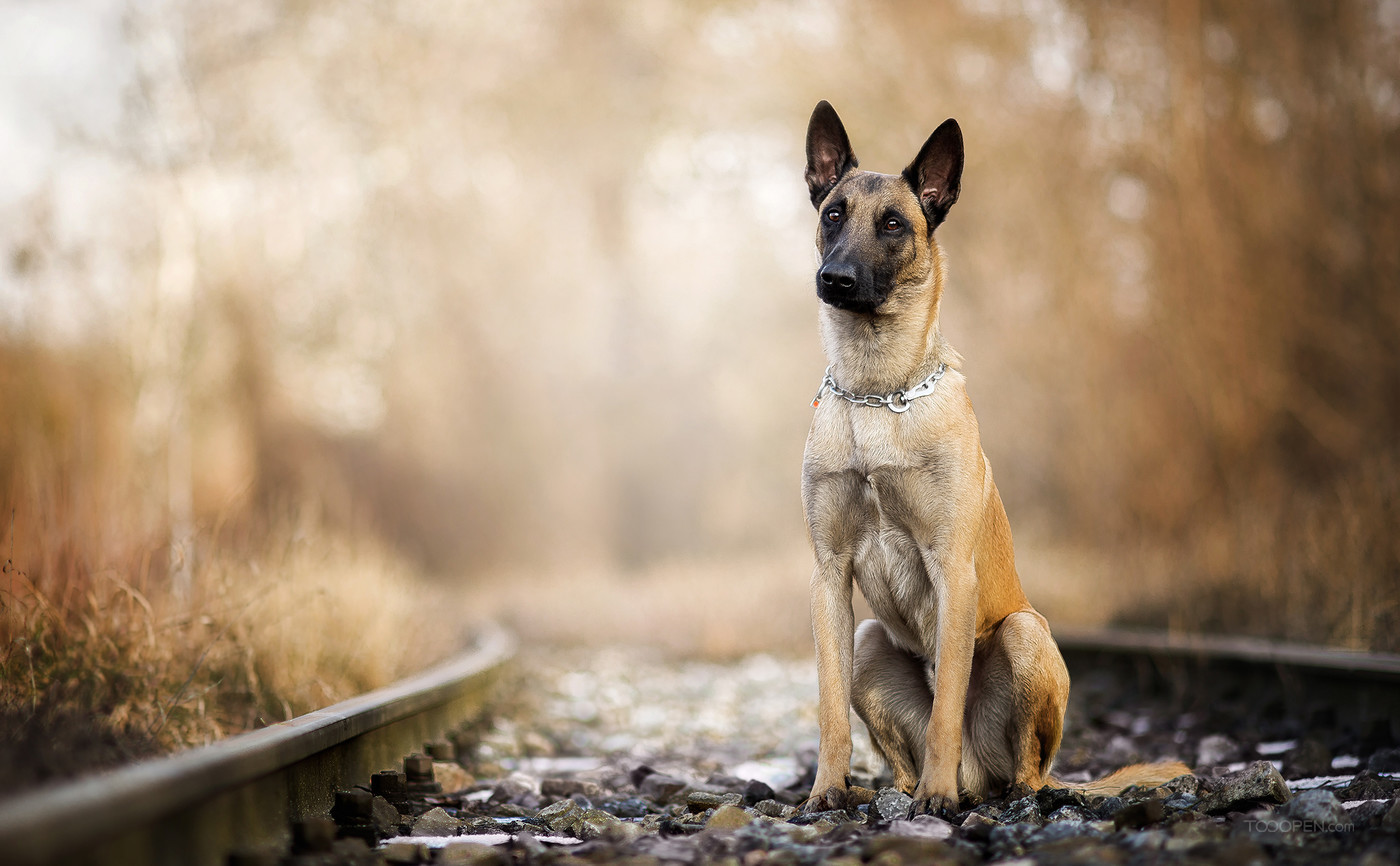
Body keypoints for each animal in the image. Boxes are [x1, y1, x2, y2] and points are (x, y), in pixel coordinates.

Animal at [806, 103, 1187, 822]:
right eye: (833, 213)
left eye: (893, 224)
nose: (834, 279)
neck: (879, 392)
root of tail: (982, 776)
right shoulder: (830, 578)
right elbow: (831, 713)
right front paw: (825, 791)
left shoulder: (952, 570)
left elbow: (948, 705)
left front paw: (935, 799)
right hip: (868, 639)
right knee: (900, 749)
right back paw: (894, 790)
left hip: (1025, 633)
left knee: (1023, 771)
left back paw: (969, 790)